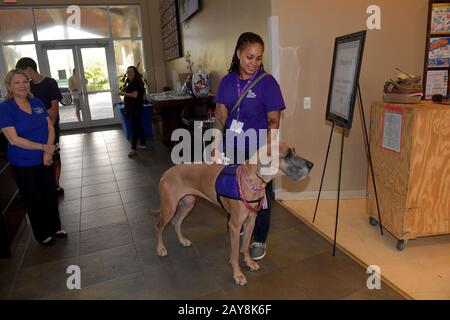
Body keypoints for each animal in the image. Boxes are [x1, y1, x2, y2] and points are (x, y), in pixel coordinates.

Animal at [155, 142, 312, 284]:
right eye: (288, 155)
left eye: (294, 151)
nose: (311, 165)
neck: (251, 181)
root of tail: (166, 173)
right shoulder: (235, 226)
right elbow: (235, 254)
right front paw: (238, 274)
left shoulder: (250, 221)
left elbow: (245, 246)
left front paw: (249, 262)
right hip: (169, 207)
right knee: (159, 226)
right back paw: (161, 248)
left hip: (188, 203)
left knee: (176, 222)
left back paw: (182, 240)